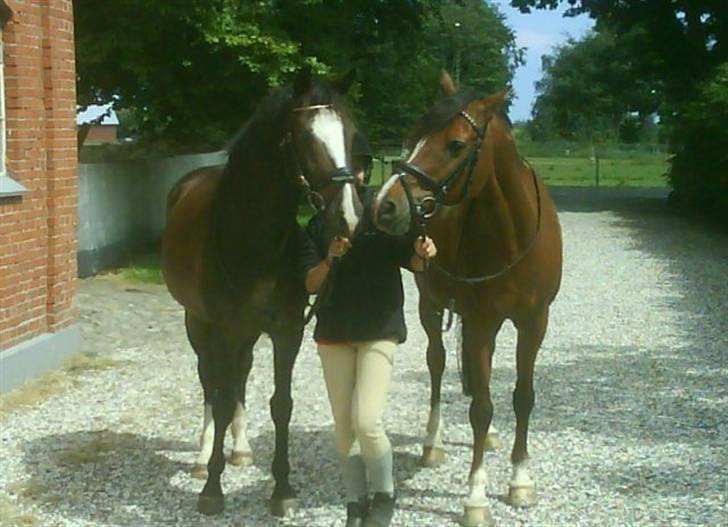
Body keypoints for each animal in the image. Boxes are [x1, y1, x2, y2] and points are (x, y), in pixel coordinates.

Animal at [161, 68, 365, 517]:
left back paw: (239, 449)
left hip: (248, 333)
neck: (253, 242)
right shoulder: (223, 331)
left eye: (350, 133)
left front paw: (282, 489)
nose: (348, 218)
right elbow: (219, 399)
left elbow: (281, 403)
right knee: (210, 382)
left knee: (240, 375)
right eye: (306, 137)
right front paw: (212, 490)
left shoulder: (287, 332)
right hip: (197, 323)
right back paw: (204, 458)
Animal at [372, 71, 563, 526]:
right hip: (431, 306)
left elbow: (521, 397)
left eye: (456, 145)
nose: (385, 205)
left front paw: (520, 481)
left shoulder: (534, 322)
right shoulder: (480, 321)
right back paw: (433, 444)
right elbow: (480, 407)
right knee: (439, 365)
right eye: (413, 136)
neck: (513, 235)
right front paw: (476, 498)